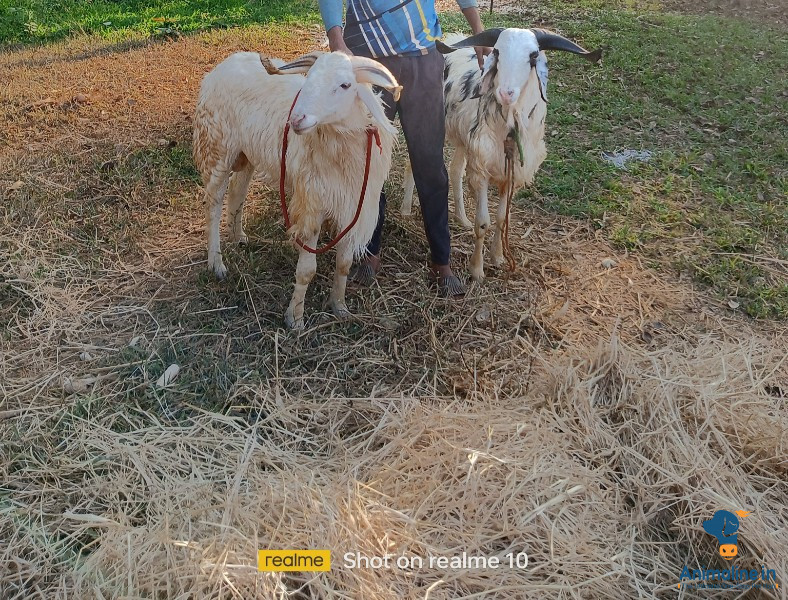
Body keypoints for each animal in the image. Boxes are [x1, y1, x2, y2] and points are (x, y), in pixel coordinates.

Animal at [193, 51, 402, 329]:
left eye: (345, 85)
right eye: (308, 78)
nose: (296, 120)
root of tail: (226, 62)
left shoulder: (352, 206)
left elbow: (344, 264)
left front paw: (340, 307)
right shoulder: (312, 204)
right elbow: (307, 271)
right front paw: (295, 318)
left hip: (246, 153)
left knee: (237, 192)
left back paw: (238, 237)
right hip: (217, 148)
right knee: (213, 206)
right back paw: (216, 263)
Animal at [401, 28, 601, 281]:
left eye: (533, 56)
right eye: (496, 51)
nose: (506, 93)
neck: (509, 130)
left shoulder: (511, 174)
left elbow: (501, 218)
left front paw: (497, 257)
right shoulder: (481, 170)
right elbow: (483, 222)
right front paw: (477, 270)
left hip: (464, 140)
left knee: (455, 170)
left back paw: (461, 219)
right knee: (413, 163)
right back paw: (406, 209)